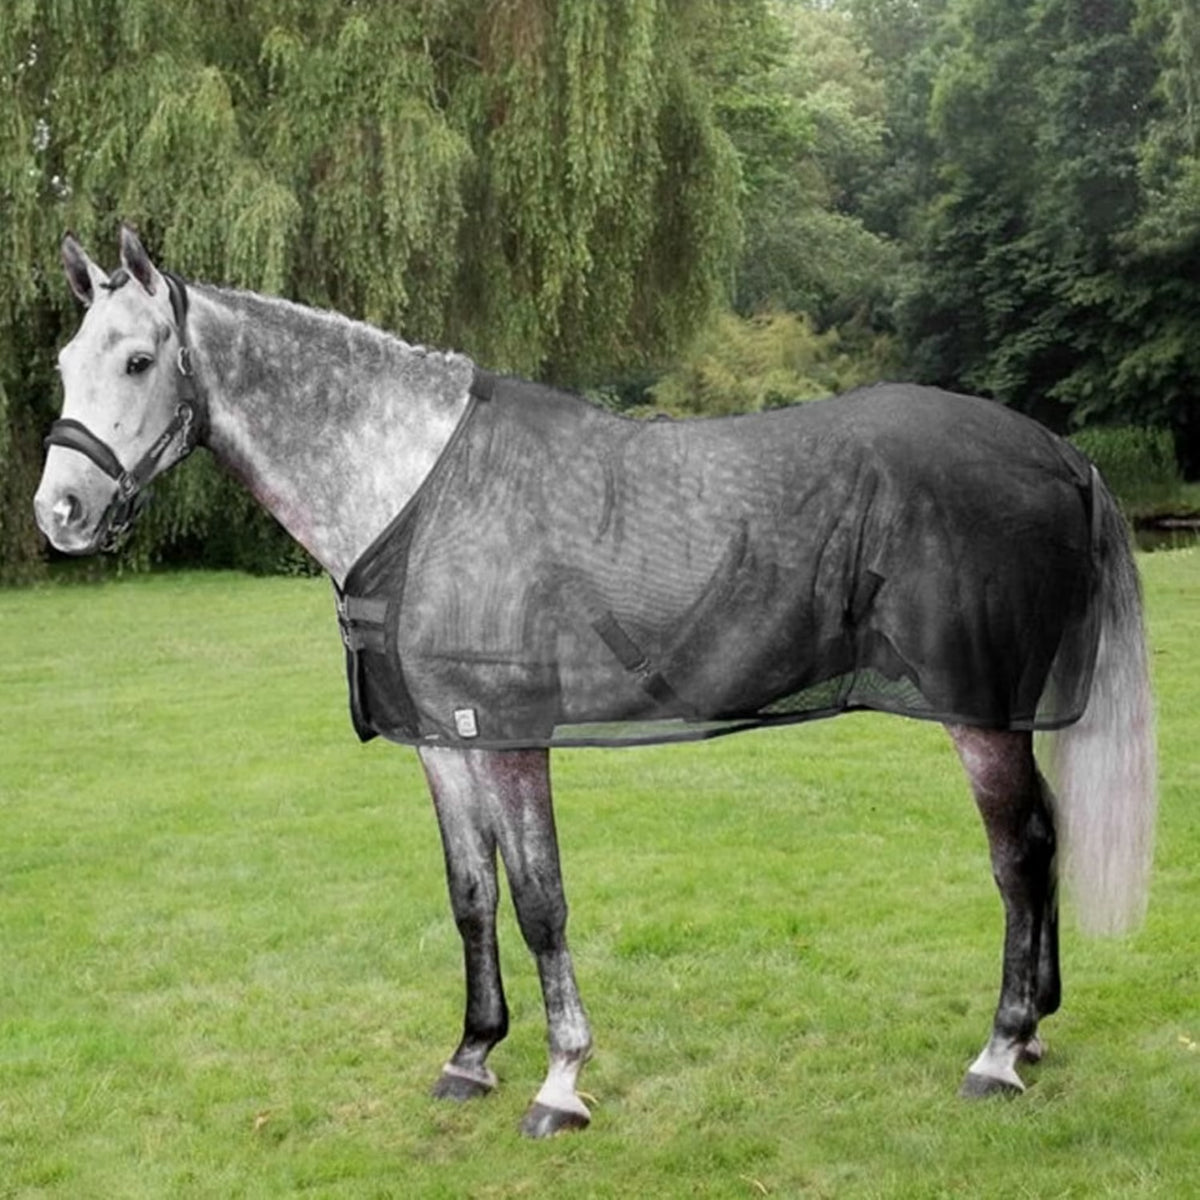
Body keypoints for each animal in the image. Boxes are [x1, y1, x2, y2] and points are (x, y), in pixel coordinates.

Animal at [33, 227, 1156, 1137]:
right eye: (63, 363)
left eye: (139, 359)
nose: (60, 514)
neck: (418, 491)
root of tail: (1061, 454)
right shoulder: (446, 740)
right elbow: (472, 896)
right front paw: (472, 1056)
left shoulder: (510, 735)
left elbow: (541, 901)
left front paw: (561, 1081)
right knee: (1046, 839)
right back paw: (1035, 1033)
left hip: (980, 715)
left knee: (1019, 857)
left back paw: (999, 1052)